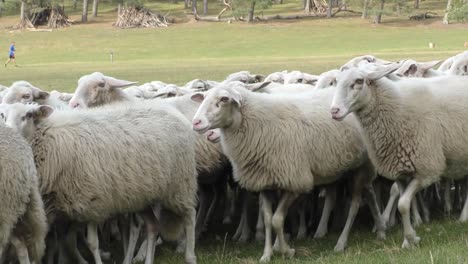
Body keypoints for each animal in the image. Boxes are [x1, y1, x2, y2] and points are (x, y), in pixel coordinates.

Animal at [192, 82, 386, 262]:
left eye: (224, 99)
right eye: (204, 97)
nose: (196, 122)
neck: (259, 124)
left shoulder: (295, 180)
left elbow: (278, 219)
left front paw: (286, 250)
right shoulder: (265, 182)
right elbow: (268, 218)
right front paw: (267, 254)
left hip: (362, 167)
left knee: (355, 203)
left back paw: (341, 242)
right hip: (354, 167)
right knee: (369, 194)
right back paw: (381, 229)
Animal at [330, 62, 468, 250]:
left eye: (359, 81)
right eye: (335, 81)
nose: (334, 111)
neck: (399, 109)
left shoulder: (427, 170)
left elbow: (402, 205)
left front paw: (410, 238)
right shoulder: (402, 172)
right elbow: (405, 204)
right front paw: (408, 240)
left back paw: (463, 217)